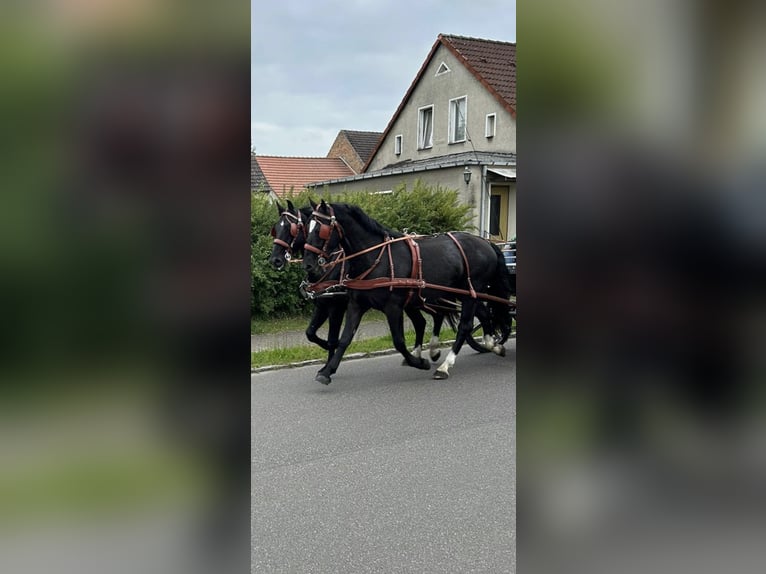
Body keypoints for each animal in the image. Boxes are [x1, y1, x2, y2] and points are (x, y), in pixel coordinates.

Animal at [304, 200, 512, 384]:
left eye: (320, 229)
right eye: (307, 227)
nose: (308, 264)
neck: (377, 258)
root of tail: (487, 243)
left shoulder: (393, 307)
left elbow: (399, 341)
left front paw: (420, 362)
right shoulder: (356, 304)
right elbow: (345, 339)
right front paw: (327, 372)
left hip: (470, 292)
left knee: (465, 326)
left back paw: (445, 366)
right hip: (465, 294)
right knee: (483, 315)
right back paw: (492, 344)